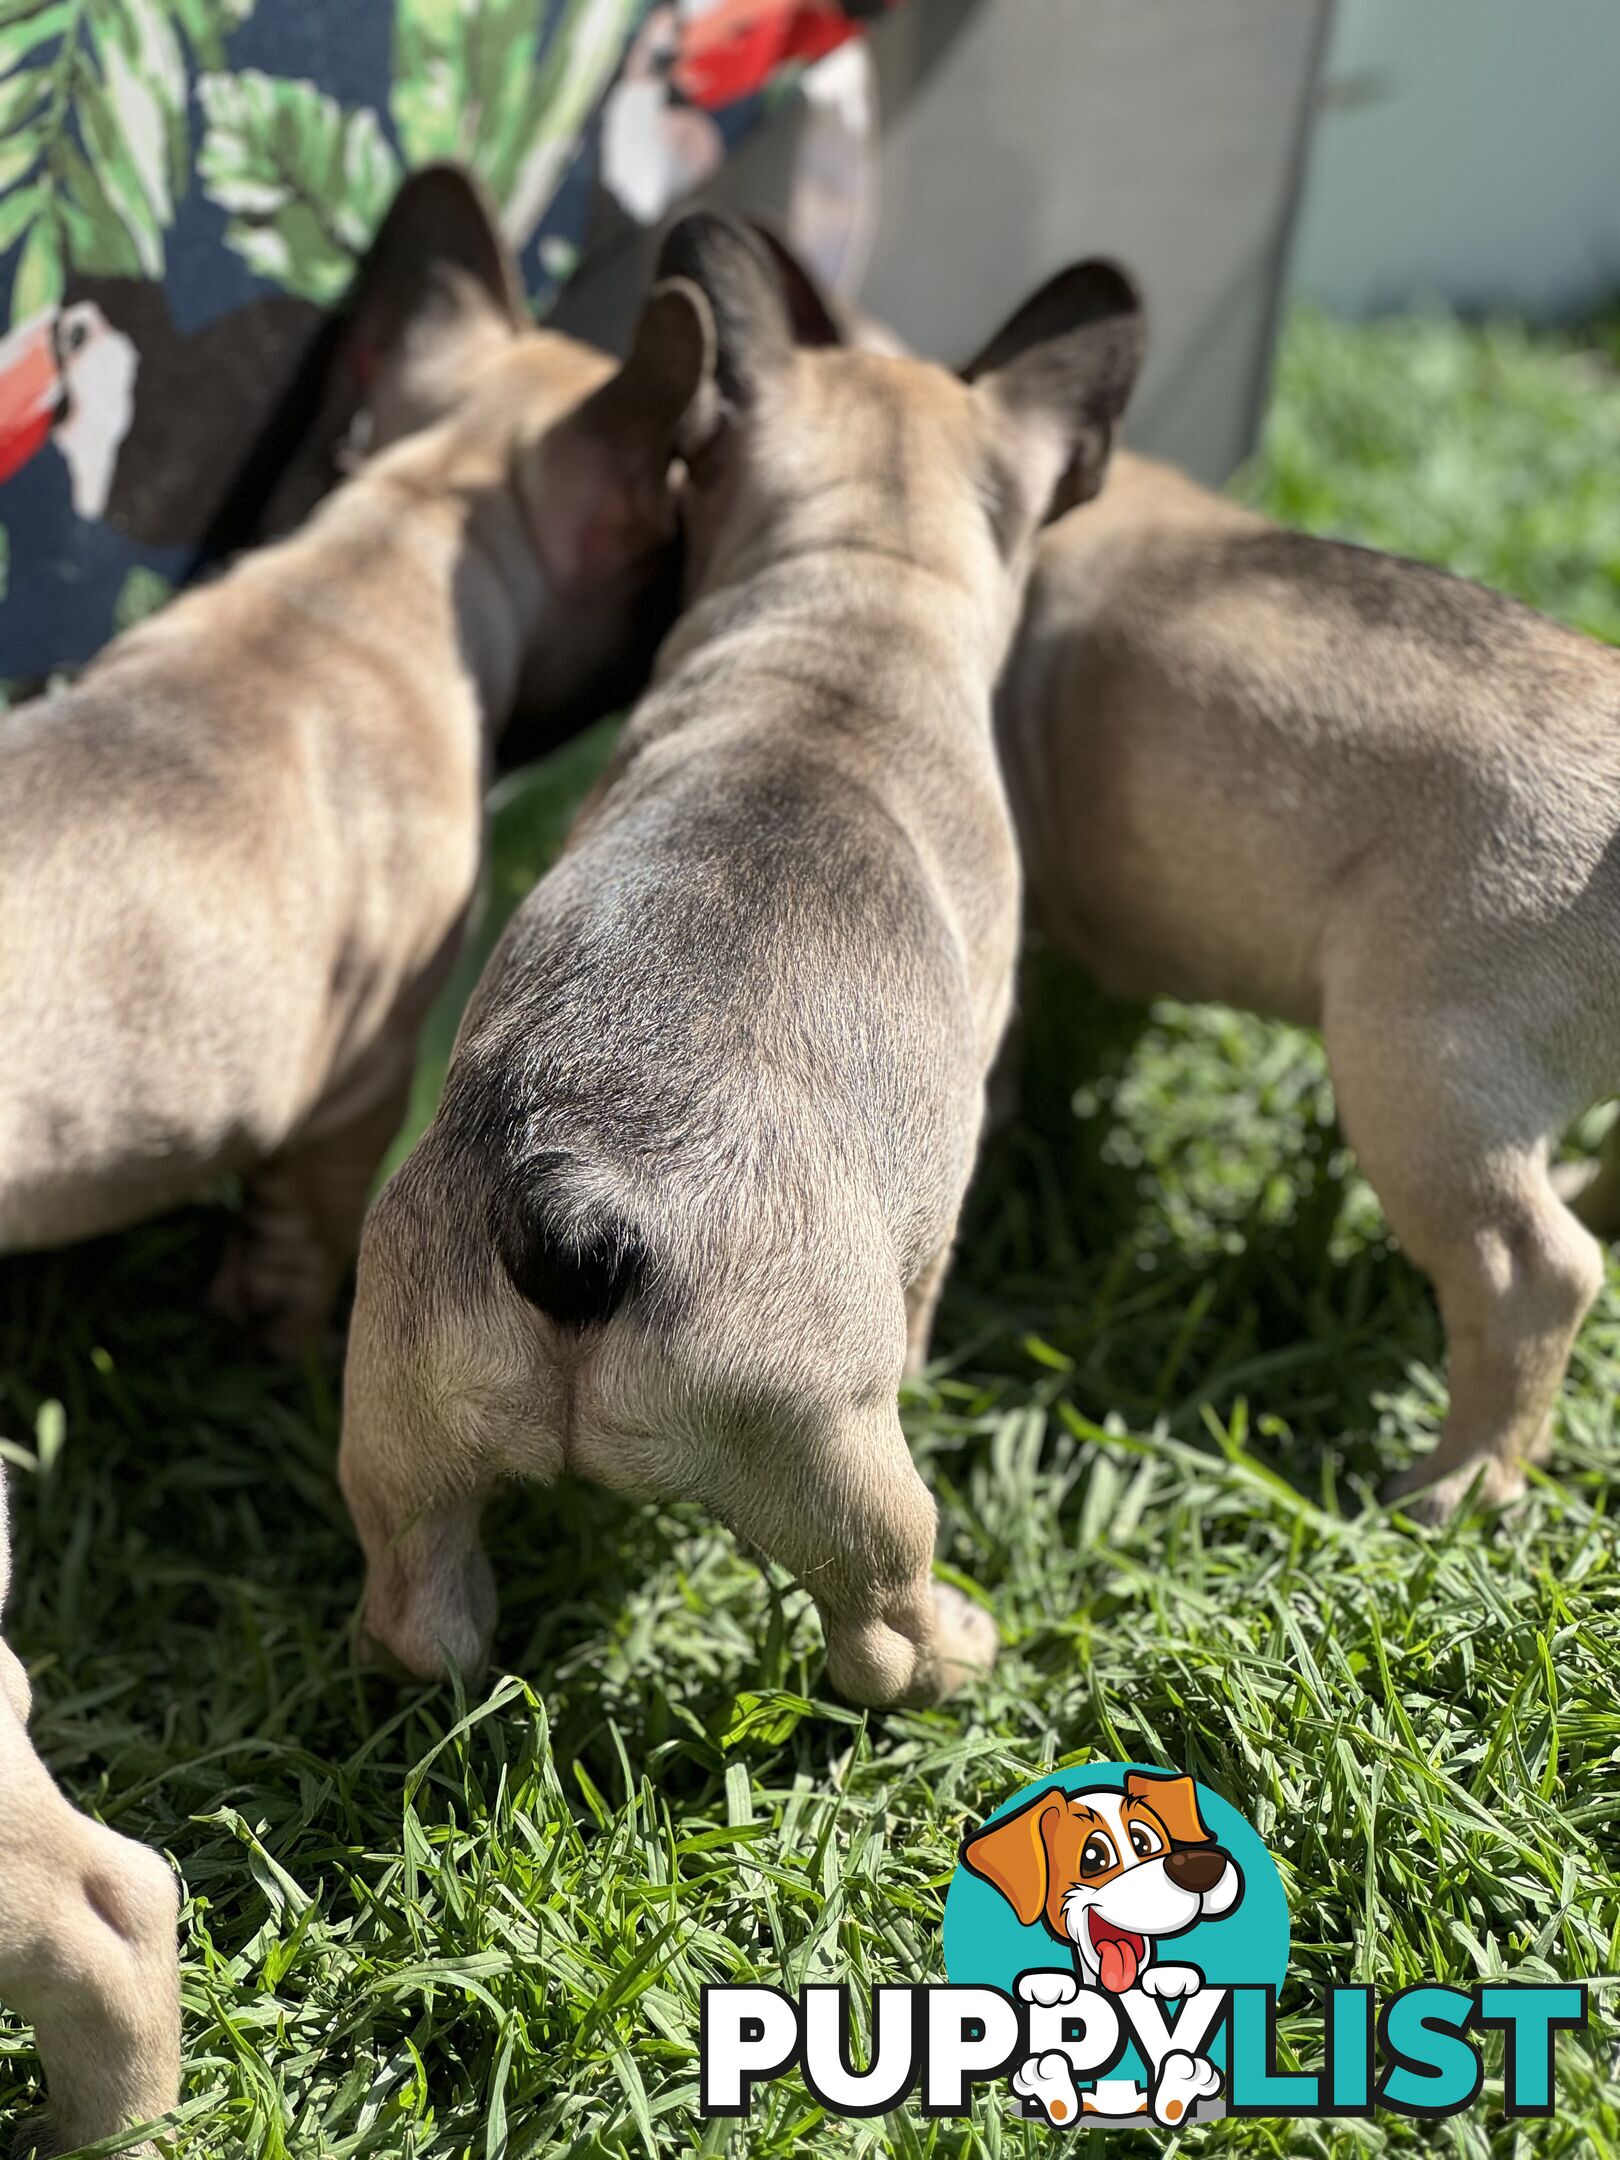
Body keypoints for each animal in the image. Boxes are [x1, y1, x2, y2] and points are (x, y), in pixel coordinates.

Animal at [341, 214, 1140, 1702]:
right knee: (878, 1625)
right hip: (835, 1458)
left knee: (423, 1604)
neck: (852, 607)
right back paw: (957, 1653)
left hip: (403, 1408)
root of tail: (579, 1211)